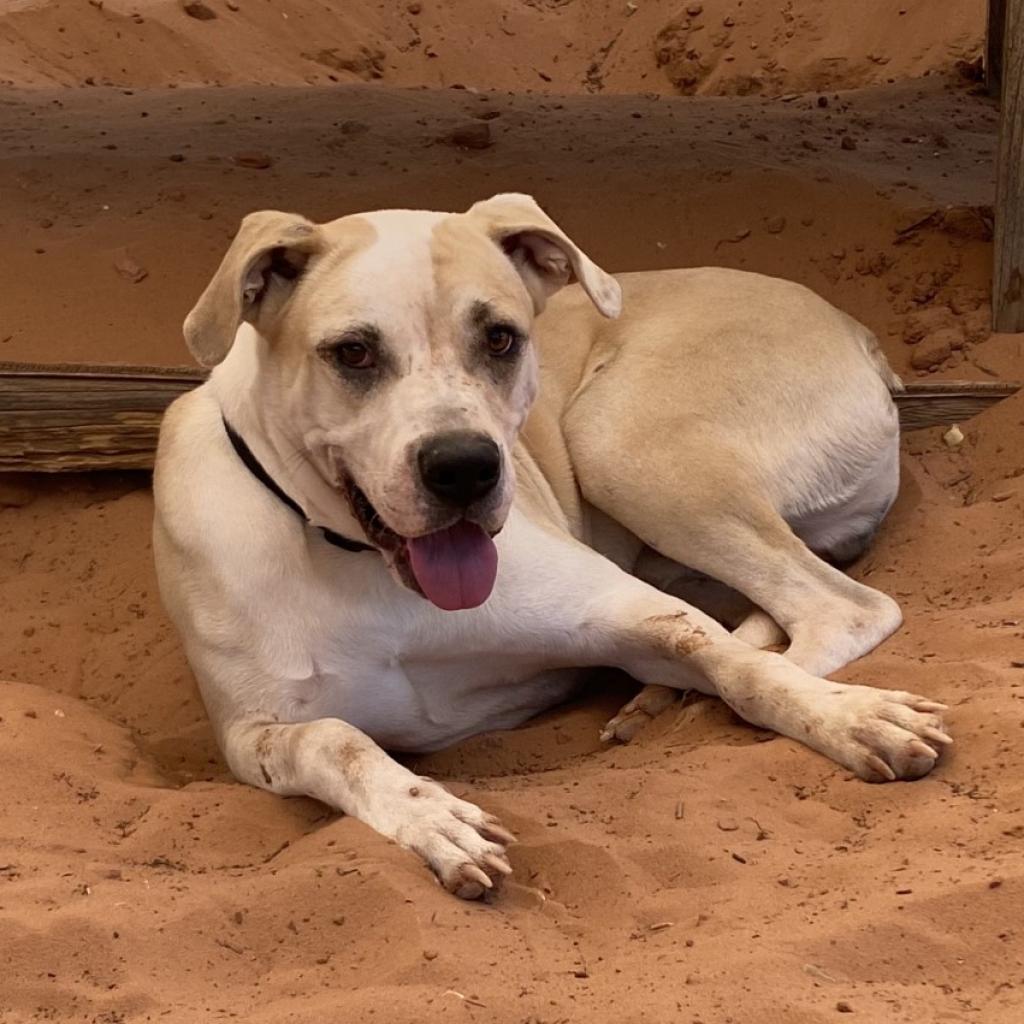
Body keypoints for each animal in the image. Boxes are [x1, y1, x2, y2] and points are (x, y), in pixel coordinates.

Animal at [151, 192, 950, 897]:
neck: (367, 567)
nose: (464, 467)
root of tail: (853, 329)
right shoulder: (251, 734)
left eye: (501, 338)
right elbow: (336, 740)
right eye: (352, 353)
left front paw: (849, 718)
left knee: (834, 610)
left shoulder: (625, 609)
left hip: (621, 441)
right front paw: (432, 818)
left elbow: (742, 669)